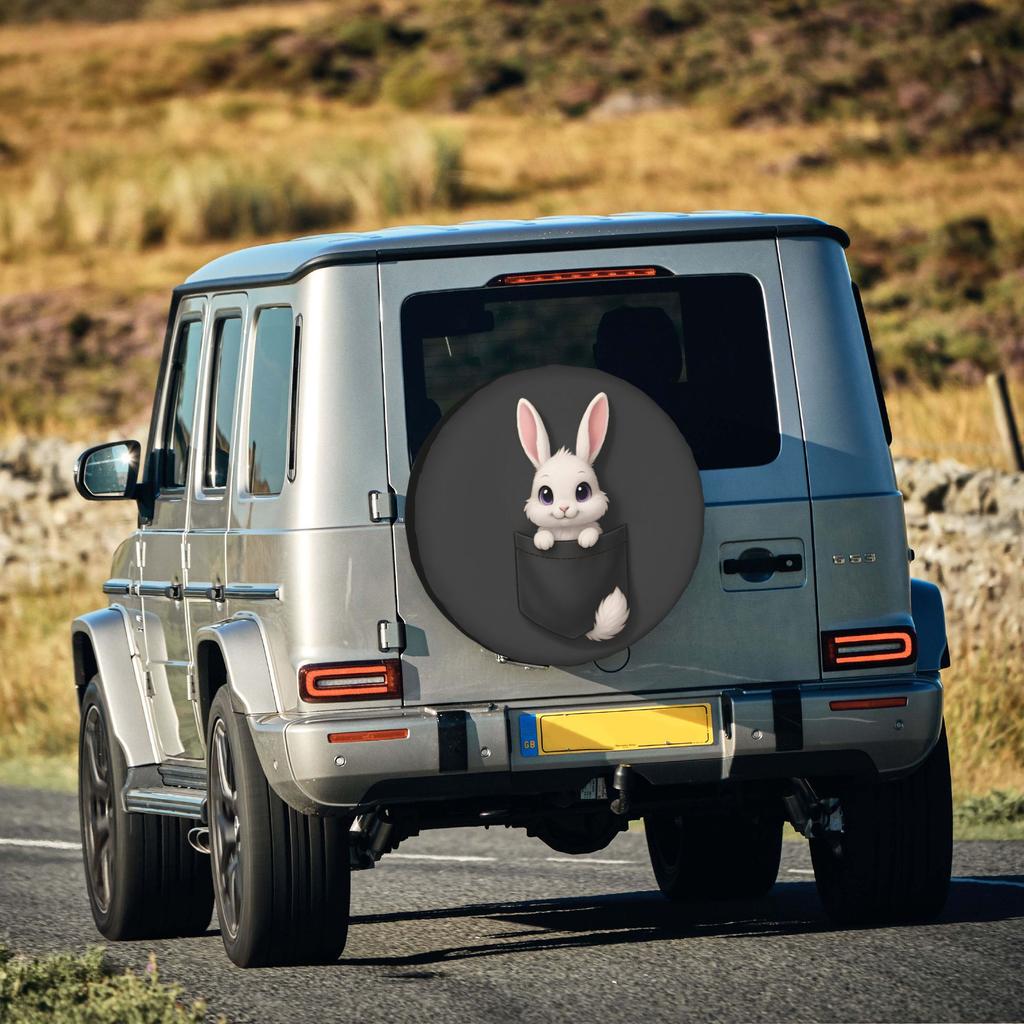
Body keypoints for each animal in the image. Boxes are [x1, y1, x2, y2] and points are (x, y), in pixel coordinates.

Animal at [516, 391, 629, 642]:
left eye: (582, 491)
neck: (566, 530)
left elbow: (592, 530)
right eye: (545, 495)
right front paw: (544, 541)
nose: (564, 508)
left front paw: (585, 539)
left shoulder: (596, 527)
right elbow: (542, 532)